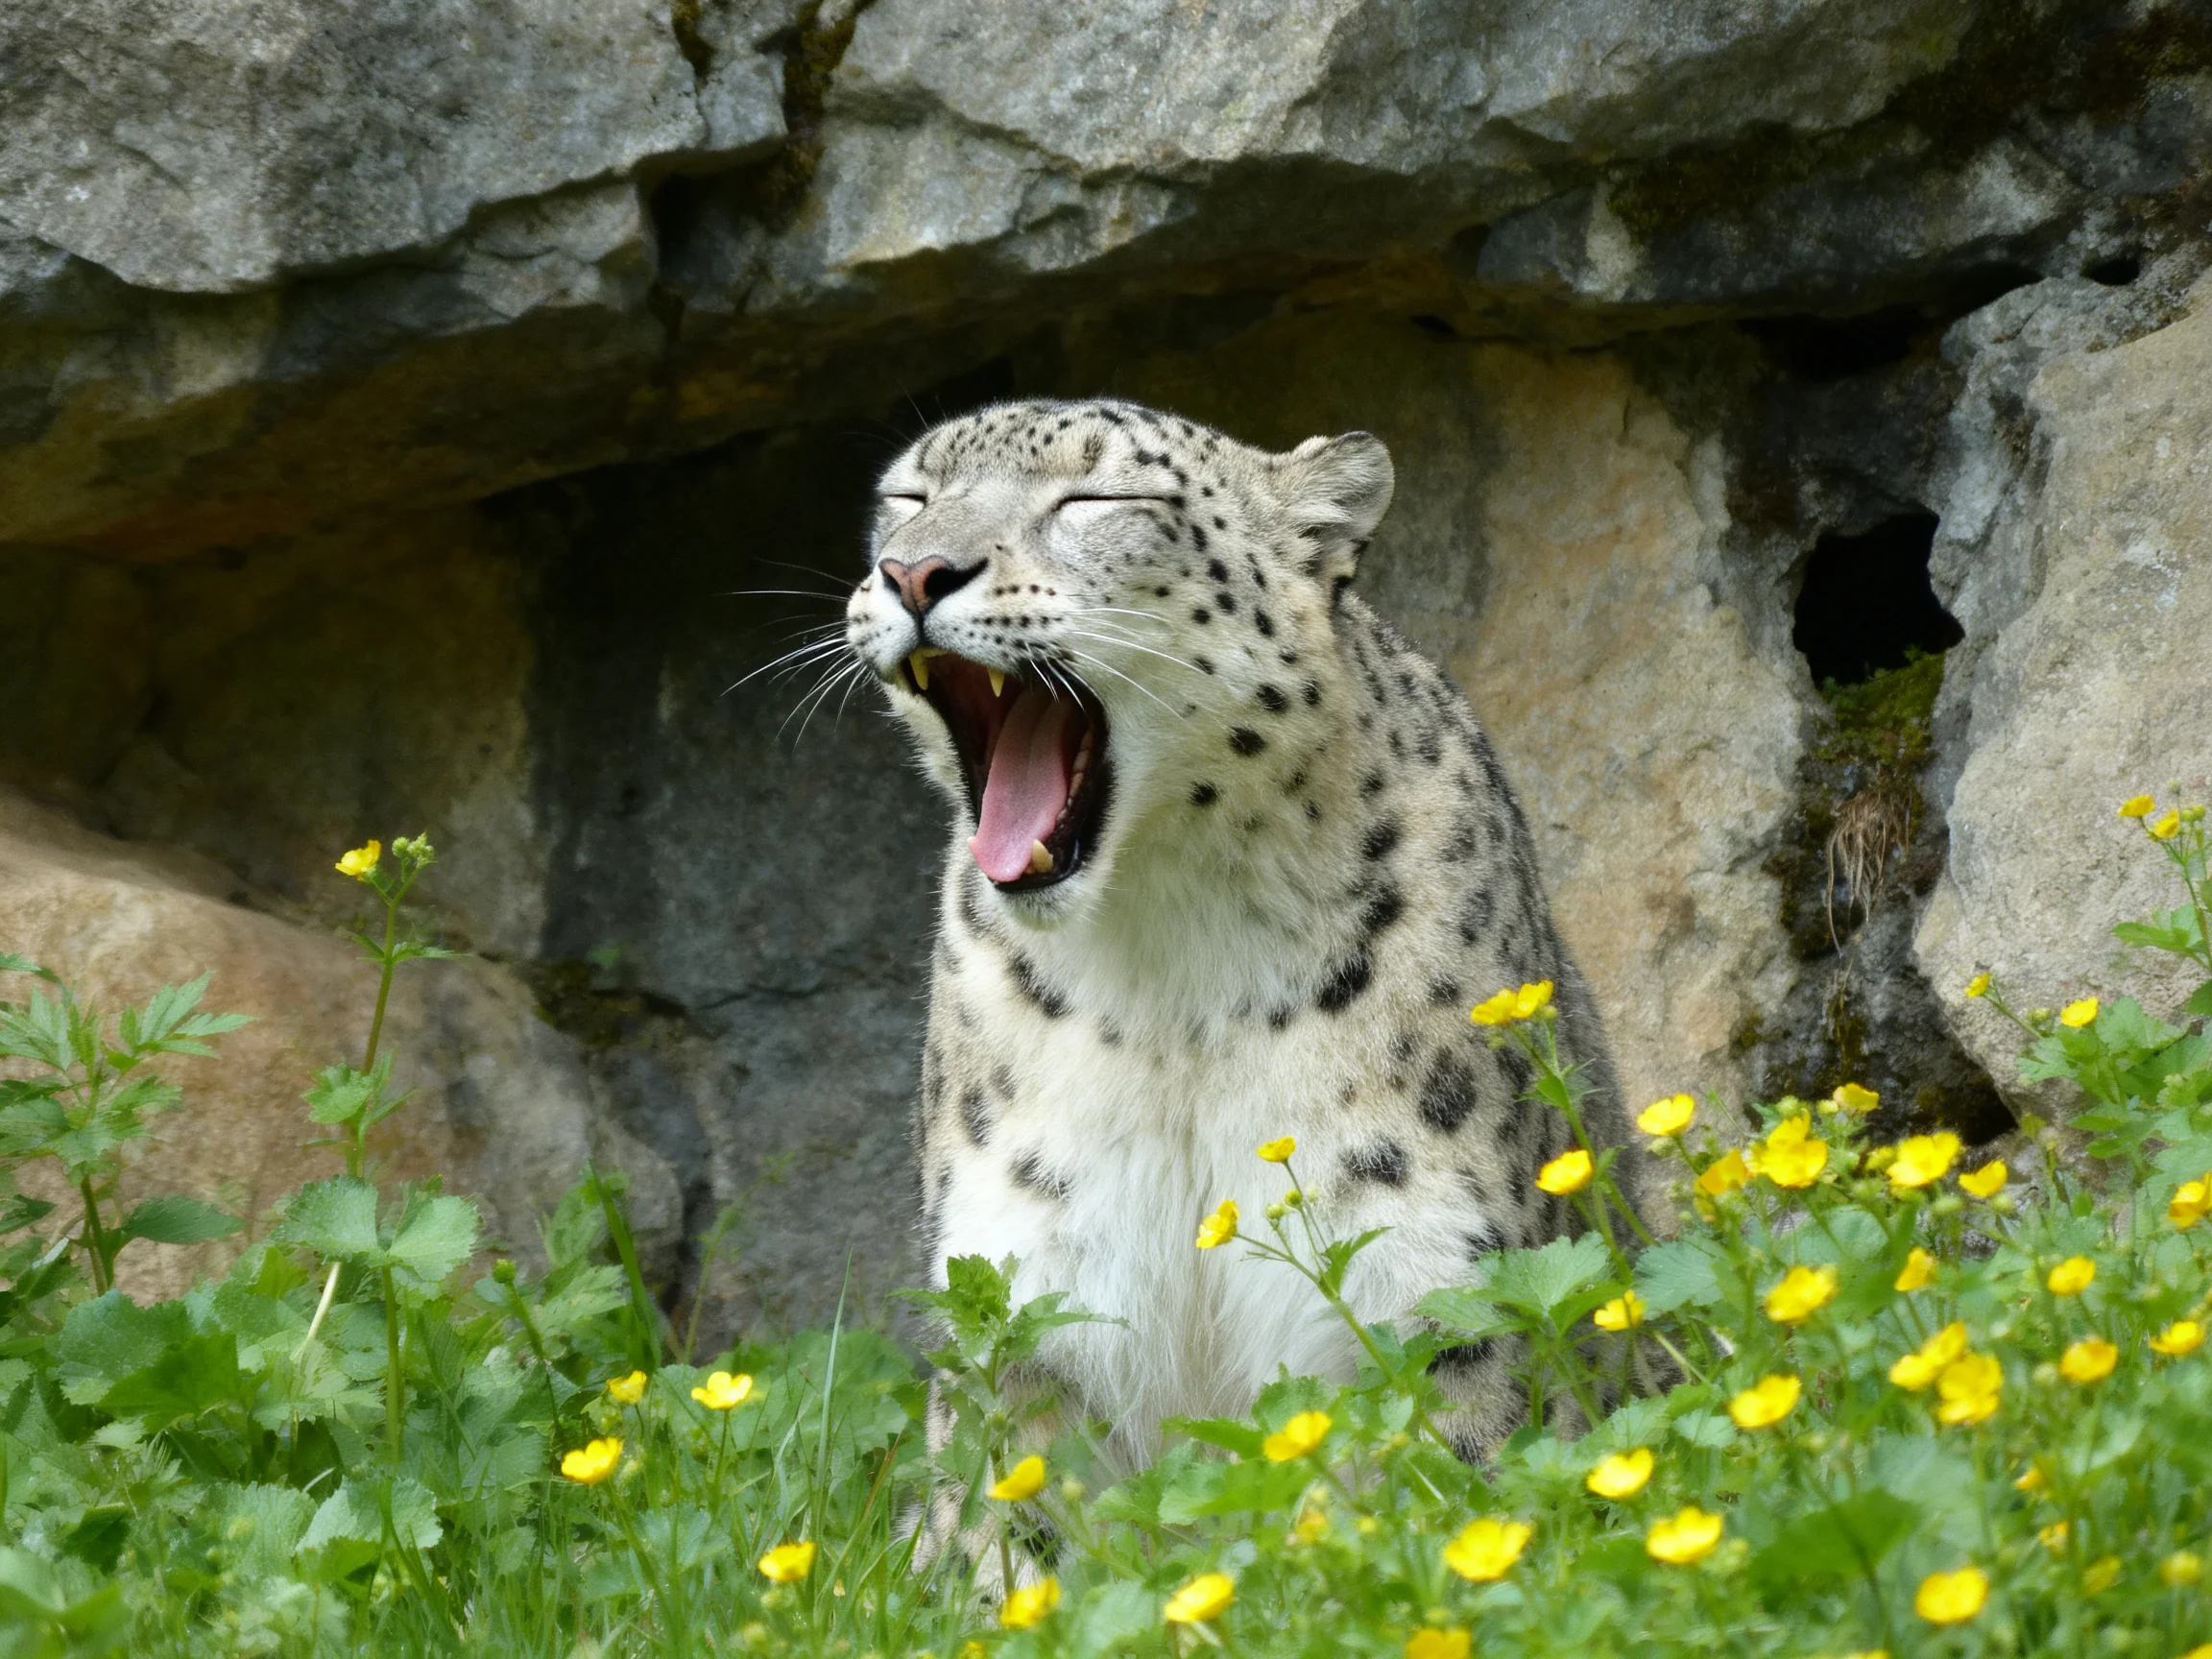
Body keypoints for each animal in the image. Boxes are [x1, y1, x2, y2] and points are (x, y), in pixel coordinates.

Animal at [840, 396, 1649, 1564]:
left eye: (1096, 496)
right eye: (907, 496)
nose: (912, 572)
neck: (1167, 966)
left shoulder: (1437, 1279)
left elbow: (1471, 1502)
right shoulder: (1025, 1286)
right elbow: (1016, 1534)